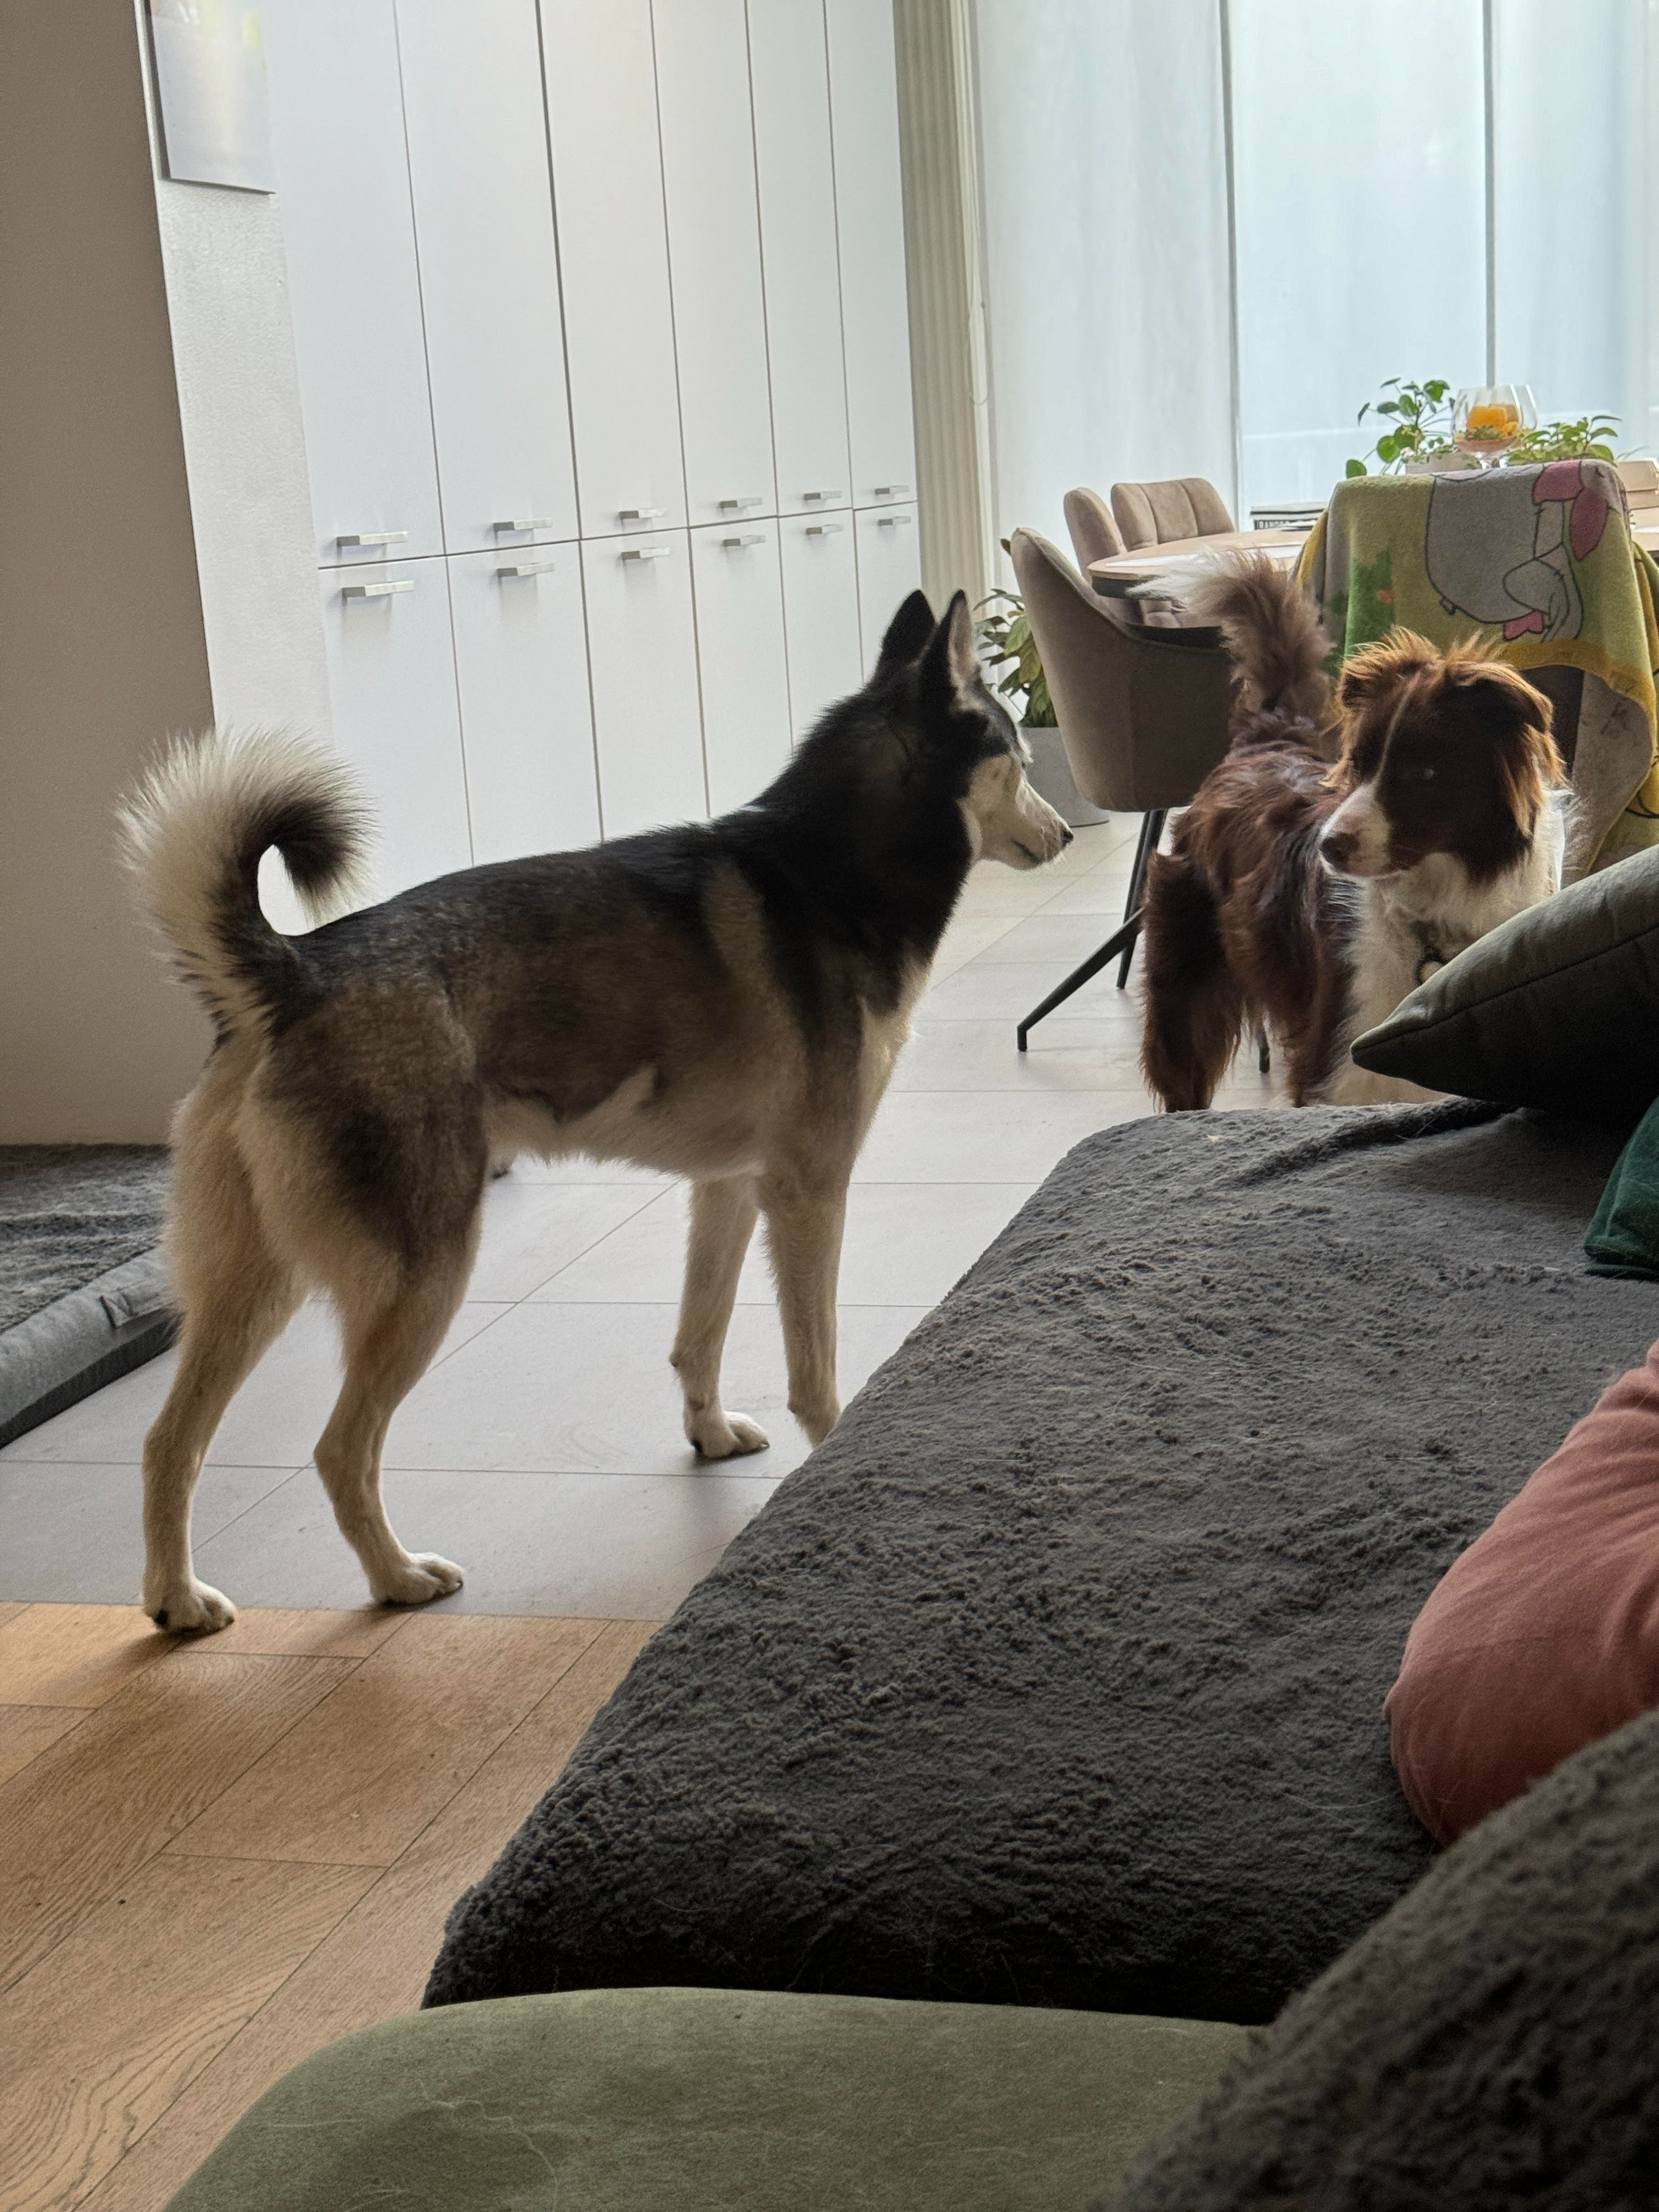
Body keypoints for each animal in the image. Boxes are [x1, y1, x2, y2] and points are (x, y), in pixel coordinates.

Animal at [118, 591, 1070, 1632]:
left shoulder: (731, 1189)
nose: (1068, 834)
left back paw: (177, 1599)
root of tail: (296, 973)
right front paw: (835, 1452)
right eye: (1020, 761)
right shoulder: (811, 1194)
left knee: (169, 1442)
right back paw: (396, 1578)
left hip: (255, 1285)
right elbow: (812, 1364)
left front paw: (709, 1434)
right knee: (340, 1450)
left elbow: (698, 1336)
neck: (830, 872)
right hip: (422, 1275)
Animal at [1139, 557, 1566, 1111]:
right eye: (1359, 764)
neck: (1436, 908)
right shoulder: (1337, 1068)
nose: (1329, 847)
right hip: (1185, 991)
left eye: (1425, 773)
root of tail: (1264, 741)